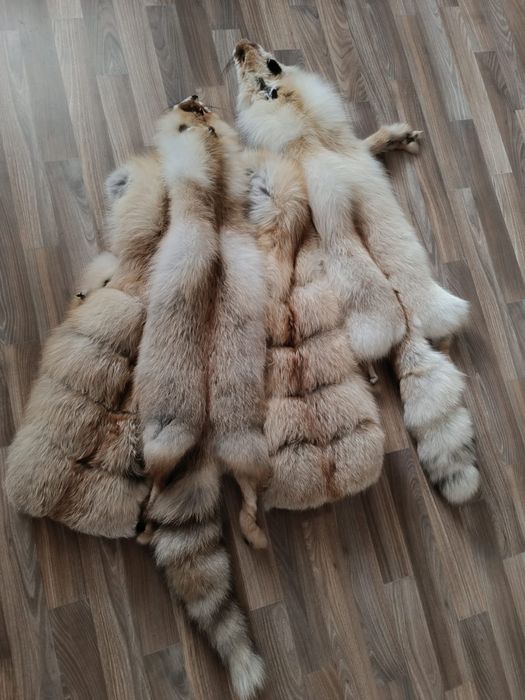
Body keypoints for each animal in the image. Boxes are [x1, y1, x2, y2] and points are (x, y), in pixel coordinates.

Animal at [233, 40, 480, 505]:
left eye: (263, 68)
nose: (240, 46)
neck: (307, 127)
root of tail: (404, 319)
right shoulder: (353, 155)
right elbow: (371, 145)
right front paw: (396, 138)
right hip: (430, 299)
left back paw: (370, 371)